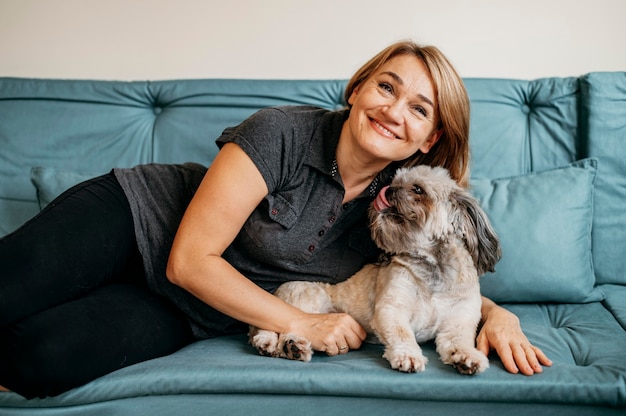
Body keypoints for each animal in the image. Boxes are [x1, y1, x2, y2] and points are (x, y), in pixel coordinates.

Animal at [246, 164, 500, 376]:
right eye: (394, 181)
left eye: (418, 189)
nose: (389, 191)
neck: (433, 270)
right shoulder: (392, 309)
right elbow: (402, 334)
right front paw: (408, 356)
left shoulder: (458, 322)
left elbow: (459, 342)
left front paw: (467, 357)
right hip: (310, 298)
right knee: (277, 327)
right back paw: (284, 345)